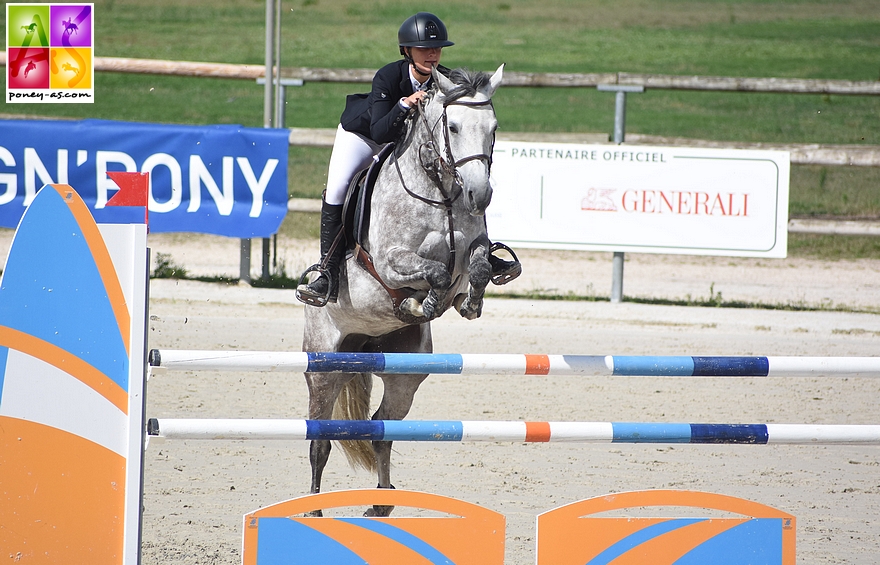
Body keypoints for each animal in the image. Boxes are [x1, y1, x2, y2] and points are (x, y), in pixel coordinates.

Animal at [306, 64, 506, 512]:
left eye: (493, 129)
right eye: (453, 126)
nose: (480, 196)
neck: (441, 193)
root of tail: (363, 345)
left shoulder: (474, 248)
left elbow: (480, 266)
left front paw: (469, 304)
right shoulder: (389, 261)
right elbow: (432, 274)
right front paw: (423, 302)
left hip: (405, 372)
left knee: (382, 428)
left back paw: (380, 503)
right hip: (324, 366)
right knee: (320, 441)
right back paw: (312, 508)